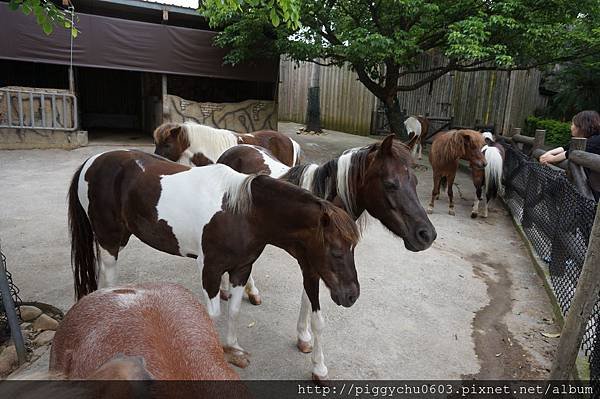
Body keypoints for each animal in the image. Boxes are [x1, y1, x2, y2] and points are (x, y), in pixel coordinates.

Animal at [69, 150, 360, 382]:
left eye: (353, 247)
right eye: (336, 251)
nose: (351, 295)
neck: (241, 214)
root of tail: (92, 162)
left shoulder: (241, 268)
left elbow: (233, 311)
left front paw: (233, 349)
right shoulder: (210, 270)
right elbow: (213, 316)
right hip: (109, 240)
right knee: (108, 279)